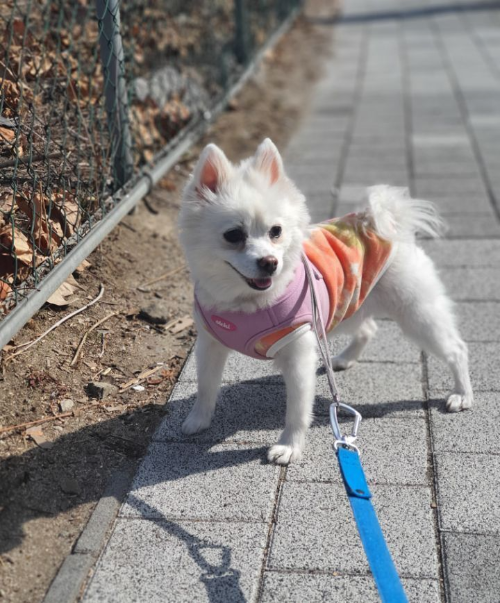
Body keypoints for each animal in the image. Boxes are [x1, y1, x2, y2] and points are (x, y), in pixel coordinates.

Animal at [178, 138, 473, 465]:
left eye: (276, 231)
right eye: (233, 235)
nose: (270, 263)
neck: (249, 303)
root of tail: (380, 222)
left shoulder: (298, 352)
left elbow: (297, 409)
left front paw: (289, 447)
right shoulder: (210, 344)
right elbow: (206, 386)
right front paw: (198, 420)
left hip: (415, 313)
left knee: (456, 349)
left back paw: (462, 394)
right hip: (345, 306)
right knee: (368, 328)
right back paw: (343, 359)